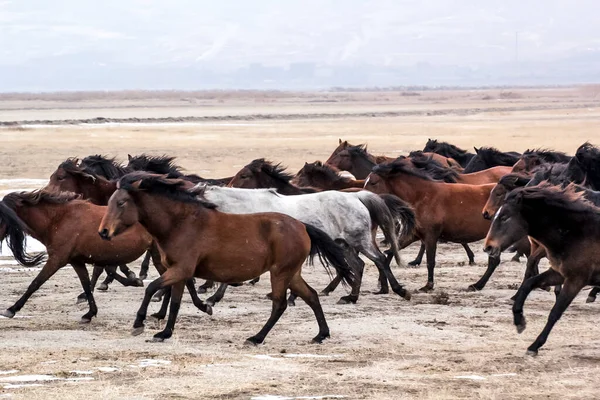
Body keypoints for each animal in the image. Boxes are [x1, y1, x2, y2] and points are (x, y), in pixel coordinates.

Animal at [0, 189, 159, 324]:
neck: (58, 220)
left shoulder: (56, 260)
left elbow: (35, 283)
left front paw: (11, 309)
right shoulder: (76, 262)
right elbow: (87, 285)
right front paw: (90, 313)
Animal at [96, 172, 354, 344]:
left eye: (121, 203)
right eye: (109, 202)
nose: (103, 232)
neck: (181, 224)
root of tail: (301, 226)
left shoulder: (180, 270)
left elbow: (152, 288)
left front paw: (139, 323)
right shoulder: (179, 272)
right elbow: (176, 302)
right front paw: (165, 333)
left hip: (280, 273)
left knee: (279, 304)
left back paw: (256, 337)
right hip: (292, 273)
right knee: (311, 296)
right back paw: (321, 334)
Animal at [195, 186, 414, 304]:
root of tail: (355, 196)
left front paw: (214, 296)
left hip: (359, 241)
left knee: (380, 260)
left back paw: (399, 290)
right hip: (343, 244)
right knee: (358, 266)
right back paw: (351, 297)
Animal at [482, 183, 600, 354]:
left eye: (504, 217)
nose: (488, 247)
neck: (576, 234)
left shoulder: (576, 280)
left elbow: (555, 312)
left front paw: (535, 345)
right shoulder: (559, 273)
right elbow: (528, 284)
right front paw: (519, 320)